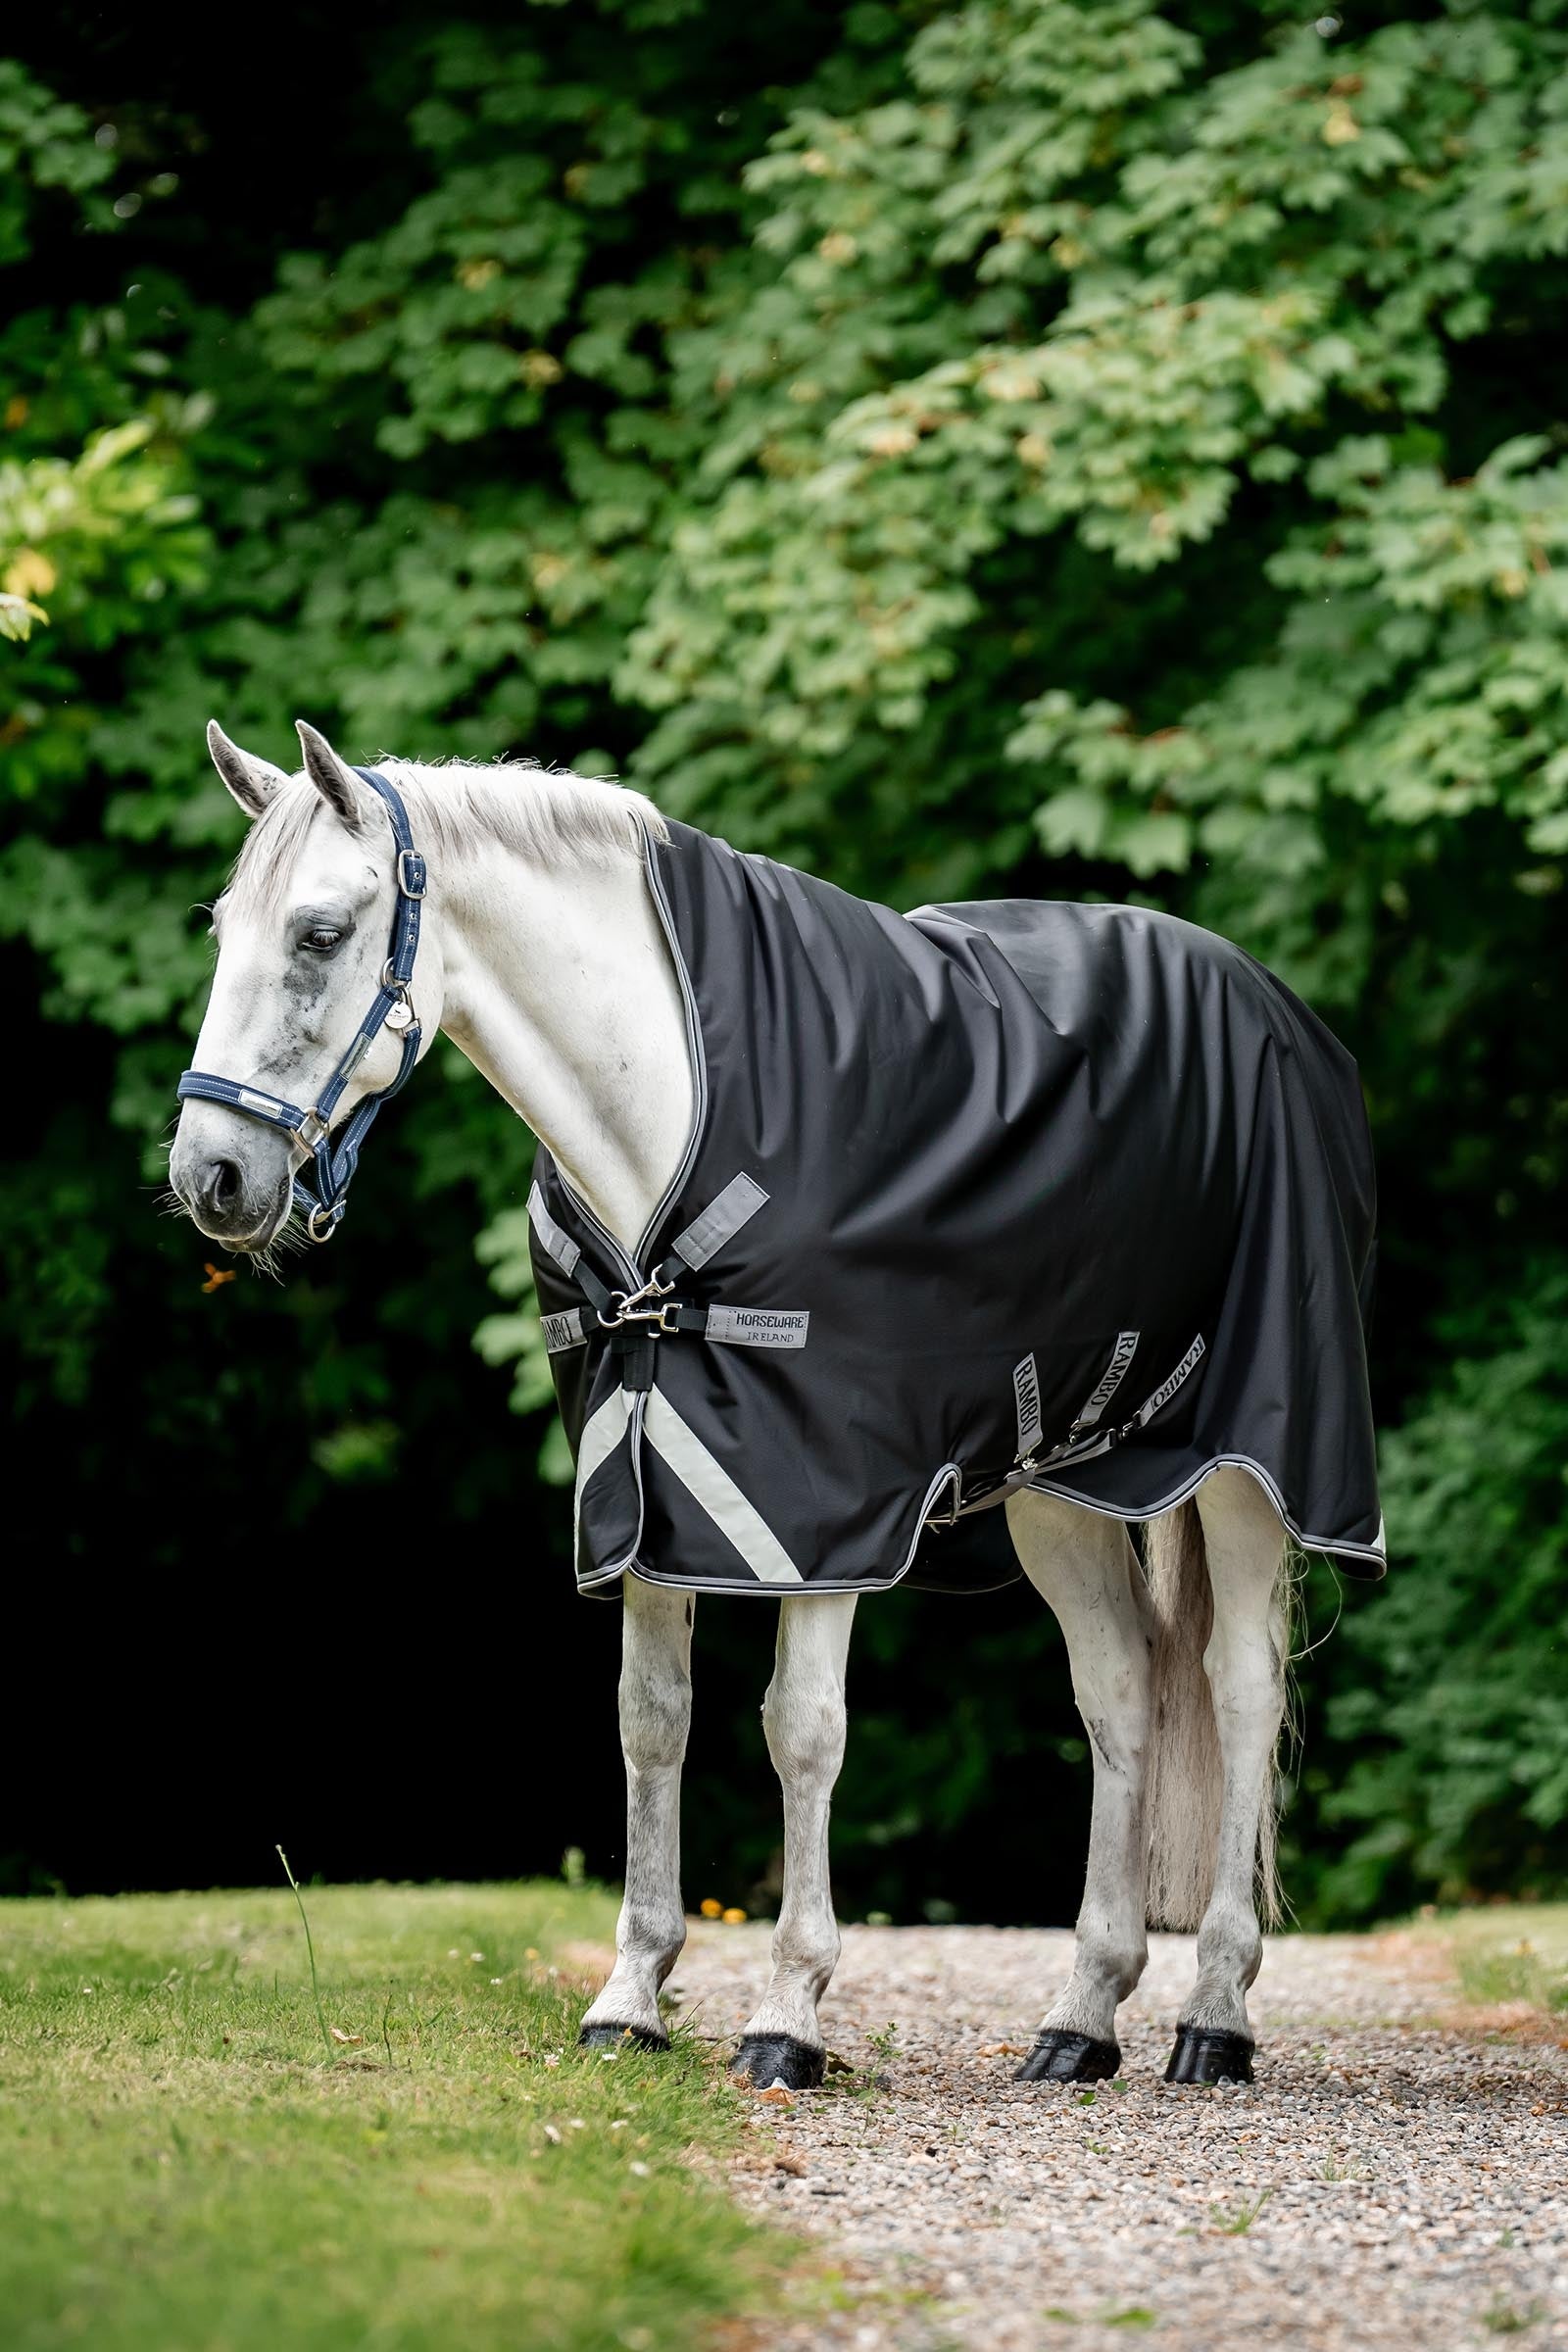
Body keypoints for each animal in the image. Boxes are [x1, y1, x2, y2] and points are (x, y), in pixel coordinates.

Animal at [169, 717, 1381, 2093]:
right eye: (222, 928)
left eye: (320, 933)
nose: (212, 1177)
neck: (669, 1108)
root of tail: (1275, 1008)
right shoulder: (640, 1482)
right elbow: (652, 1722)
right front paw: (630, 1998)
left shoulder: (825, 1507)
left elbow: (800, 1731)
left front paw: (788, 2014)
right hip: (1059, 1485)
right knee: (1120, 1693)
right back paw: (1080, 2017)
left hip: (1247, 1467)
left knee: (1239, 1689)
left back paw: (1214, 2015)